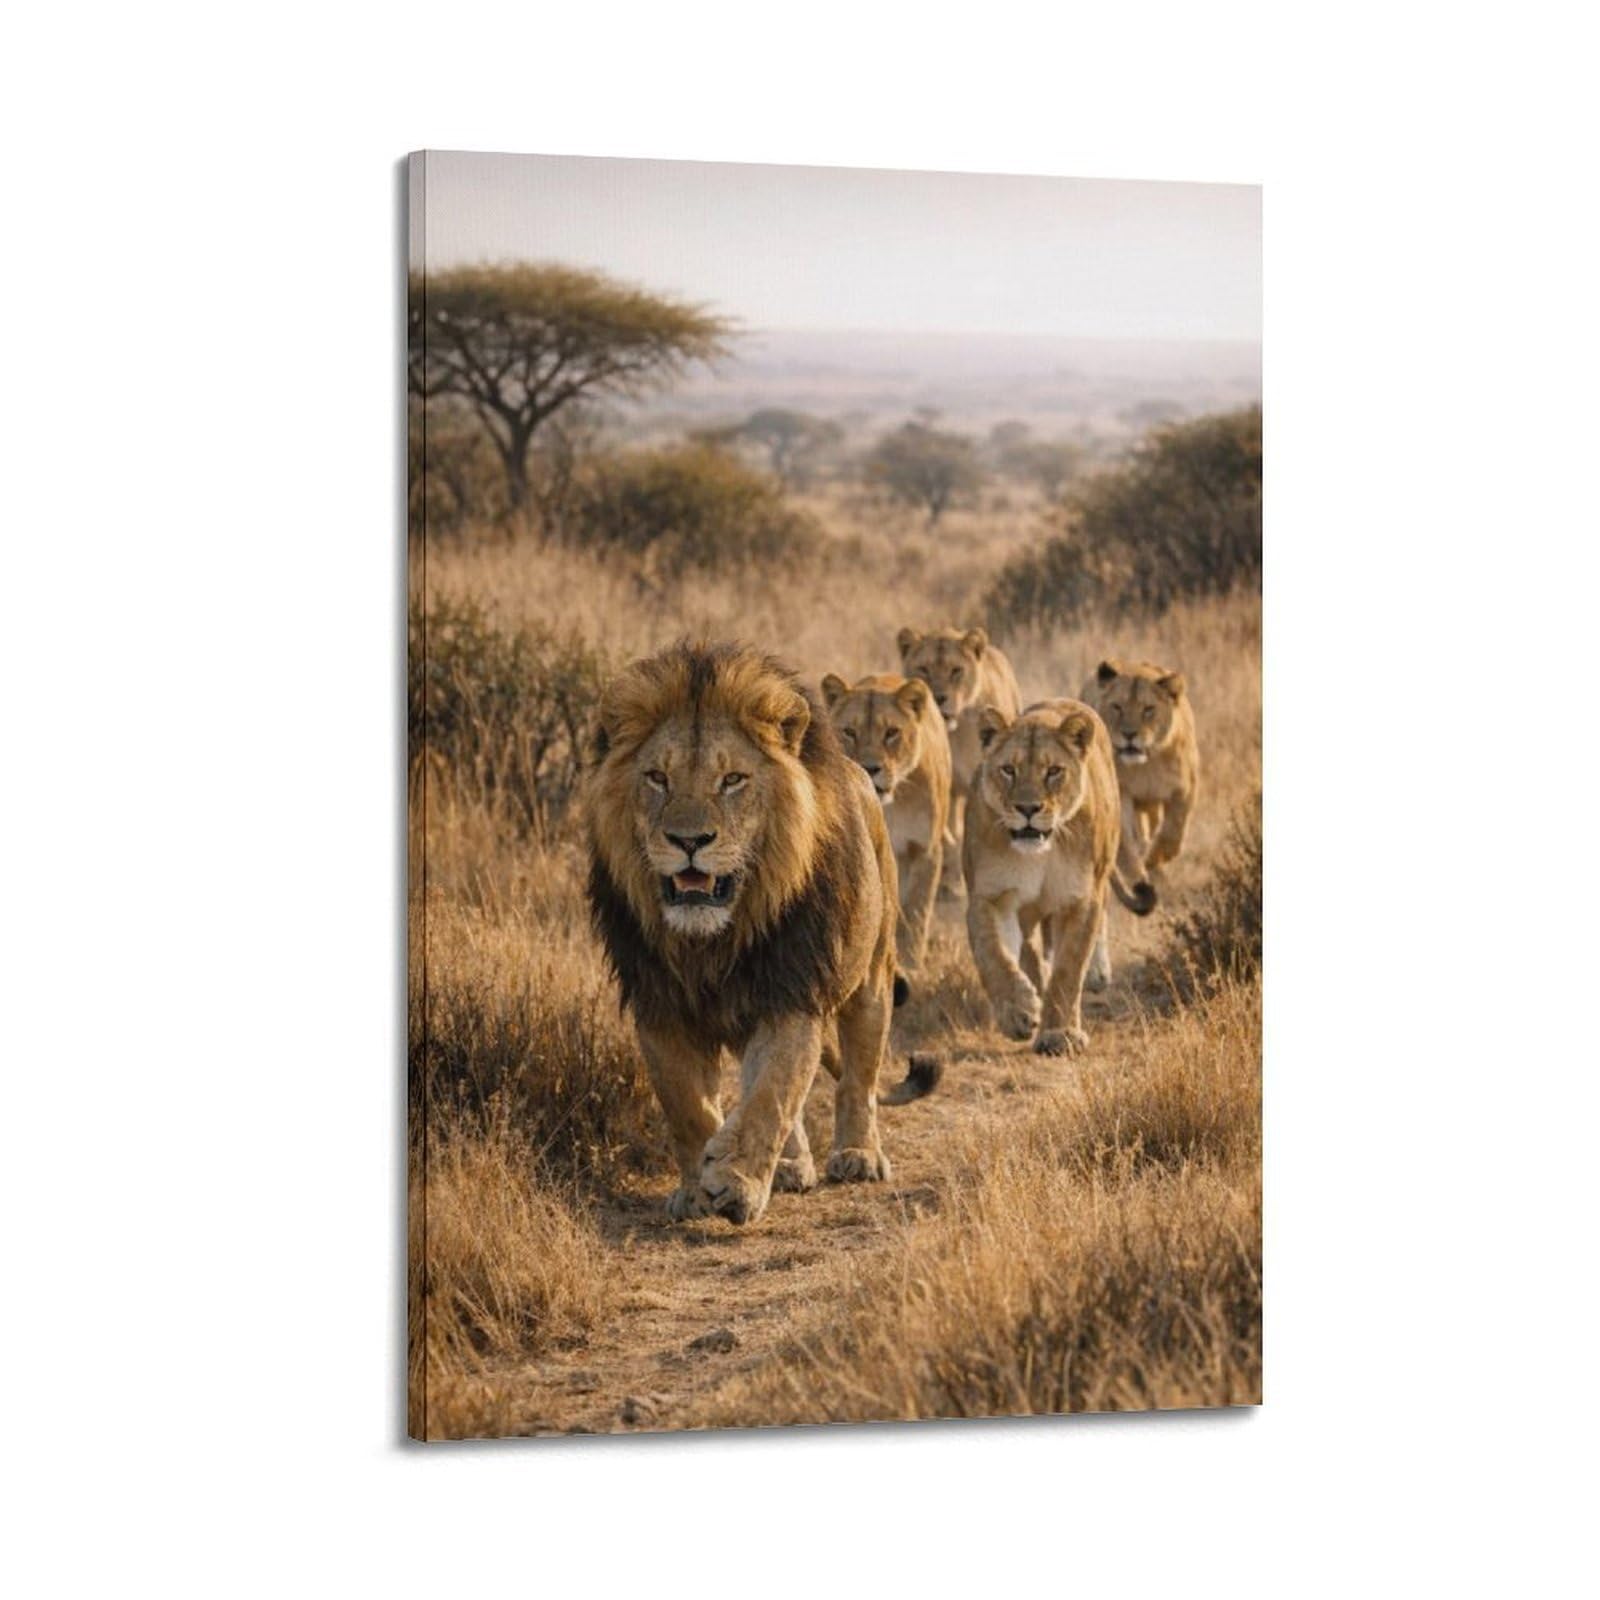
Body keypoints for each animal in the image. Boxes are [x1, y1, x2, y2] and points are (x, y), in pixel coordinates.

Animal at [586, 641, 931, 1227]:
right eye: (657, 778)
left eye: (732, 781)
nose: (689, 841)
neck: (711, 940)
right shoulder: (659, 1003)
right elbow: (688, 1106)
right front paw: (697, 1189)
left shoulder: (792, 991)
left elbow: (773, 1092)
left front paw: (736, 1183)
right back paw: (789, 1166)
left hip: (873, 977)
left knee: (858, 1078)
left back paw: (857, 1155)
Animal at [820, 671, 952, 972]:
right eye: (849, 732)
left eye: (892, 733)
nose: (870, 768)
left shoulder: (926, 849)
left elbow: (916, 911)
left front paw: (912, 964)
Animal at [897, 626, 1022, 888]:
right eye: (923, 669)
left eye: (956, 670)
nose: (938, 697)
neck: (955, 734)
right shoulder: (941, 791)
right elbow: (950, 838)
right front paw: (953, 877)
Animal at [963, 699, 1155, 1056]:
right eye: (1008, 770)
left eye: (1053, 771)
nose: (1027, 809)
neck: (1041, 851)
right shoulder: (991, 896)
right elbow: (993, 954)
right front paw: (1018, 1012)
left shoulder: (1080, 899)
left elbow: (1068, 968)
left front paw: (1059, 1034)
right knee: (1029, 947)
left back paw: (1096, 974)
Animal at [1080, 659, 1200, 879]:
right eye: (1117, 707)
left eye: (1148, 709)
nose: (1129, 734)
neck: (1147, 765)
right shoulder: (1123, 792)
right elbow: (1129, 839)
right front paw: (1141, 861)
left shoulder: (1185, 788)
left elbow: (1173, 829)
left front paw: (1155, 858)